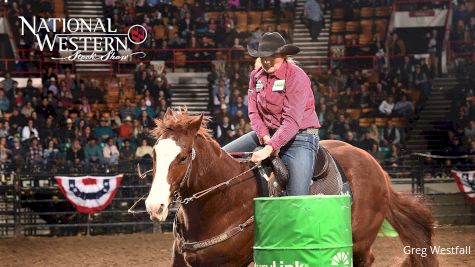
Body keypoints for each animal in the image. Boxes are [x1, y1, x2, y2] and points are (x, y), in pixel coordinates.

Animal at [145, 110, 438, 266]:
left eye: (183, 157)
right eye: (154, 153)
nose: (154, 206)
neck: (223, 201)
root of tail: (378, 169)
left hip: (360, 241)